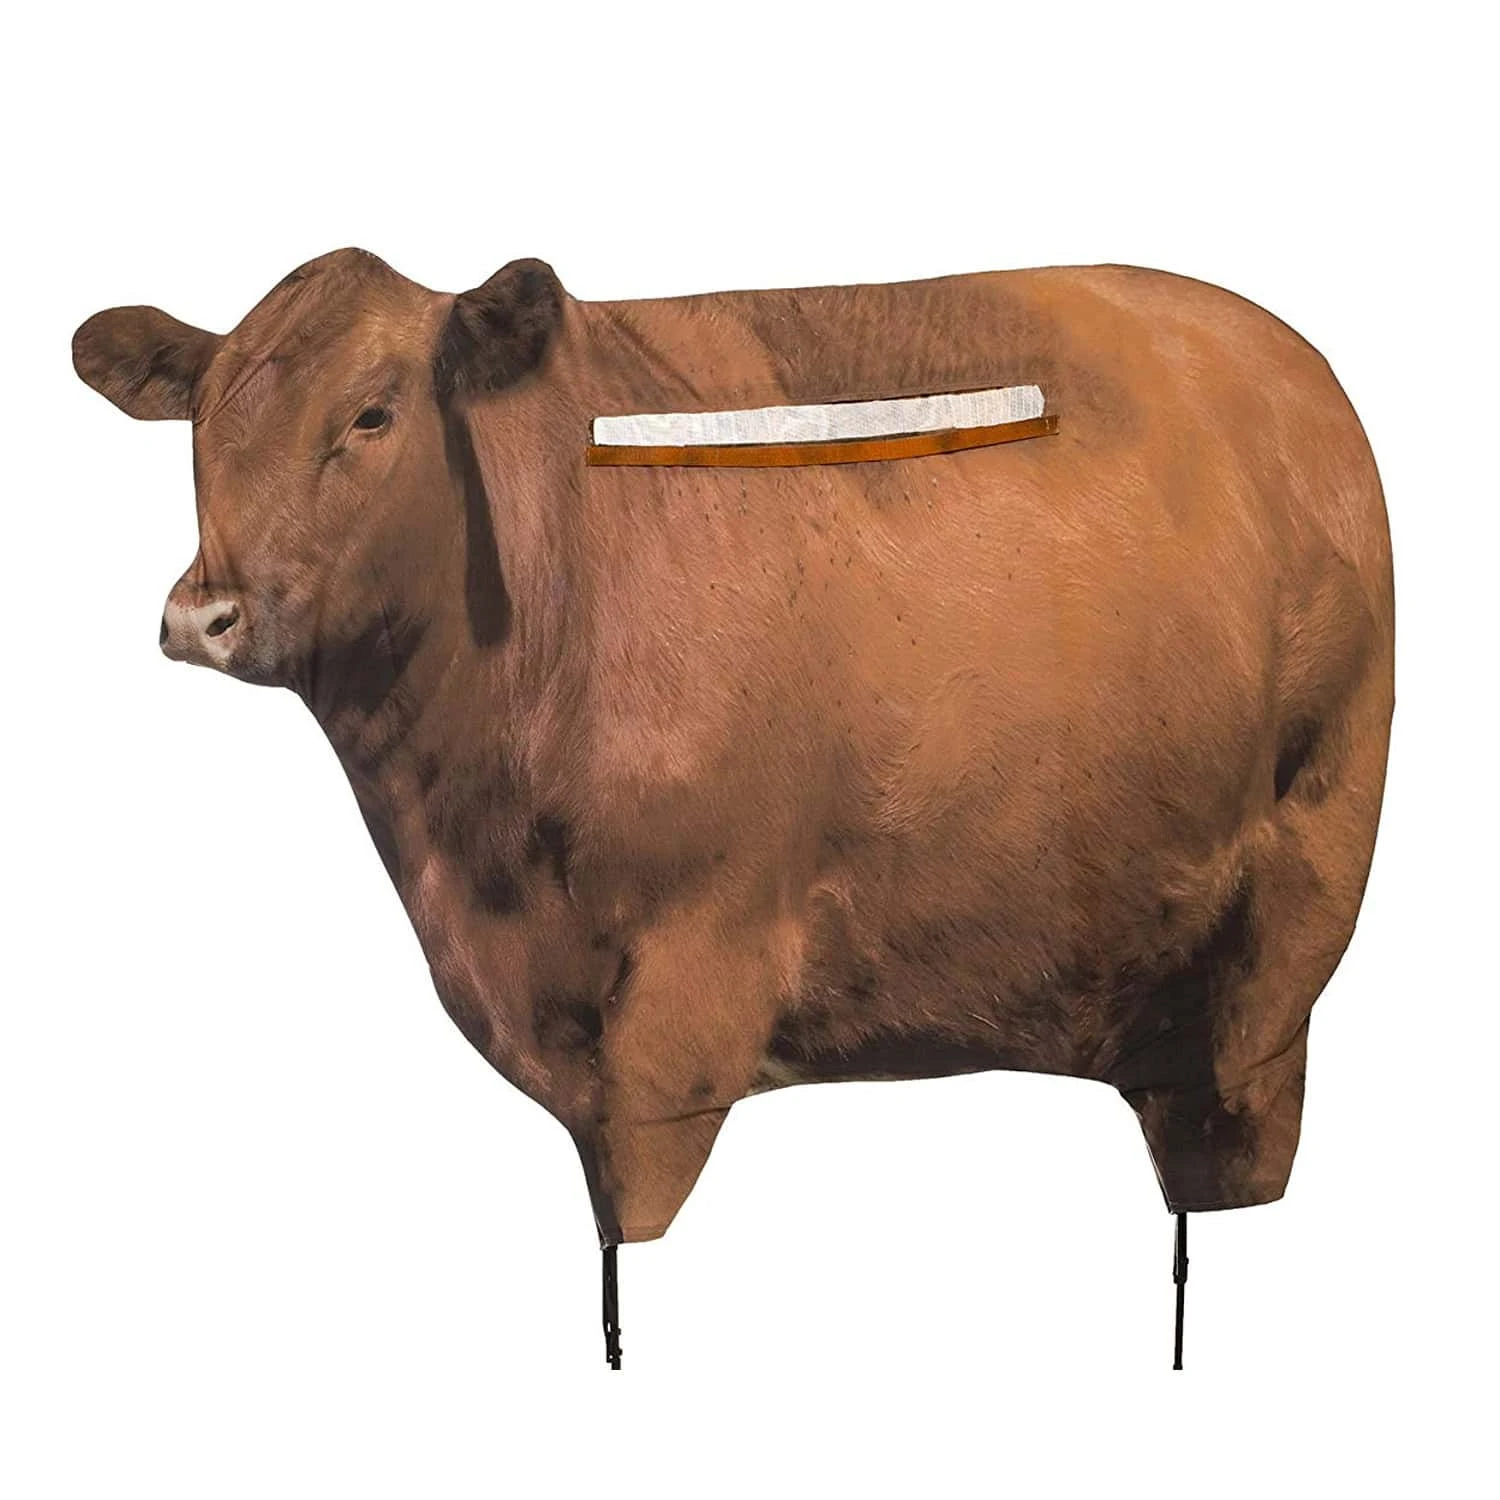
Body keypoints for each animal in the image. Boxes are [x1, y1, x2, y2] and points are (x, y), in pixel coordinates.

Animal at [73, 250, 1393, 1369]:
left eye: (371, 415)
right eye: (202, 422)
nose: (204, 613)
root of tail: (1295, 367)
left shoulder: (697, 976)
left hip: (1293, 909)